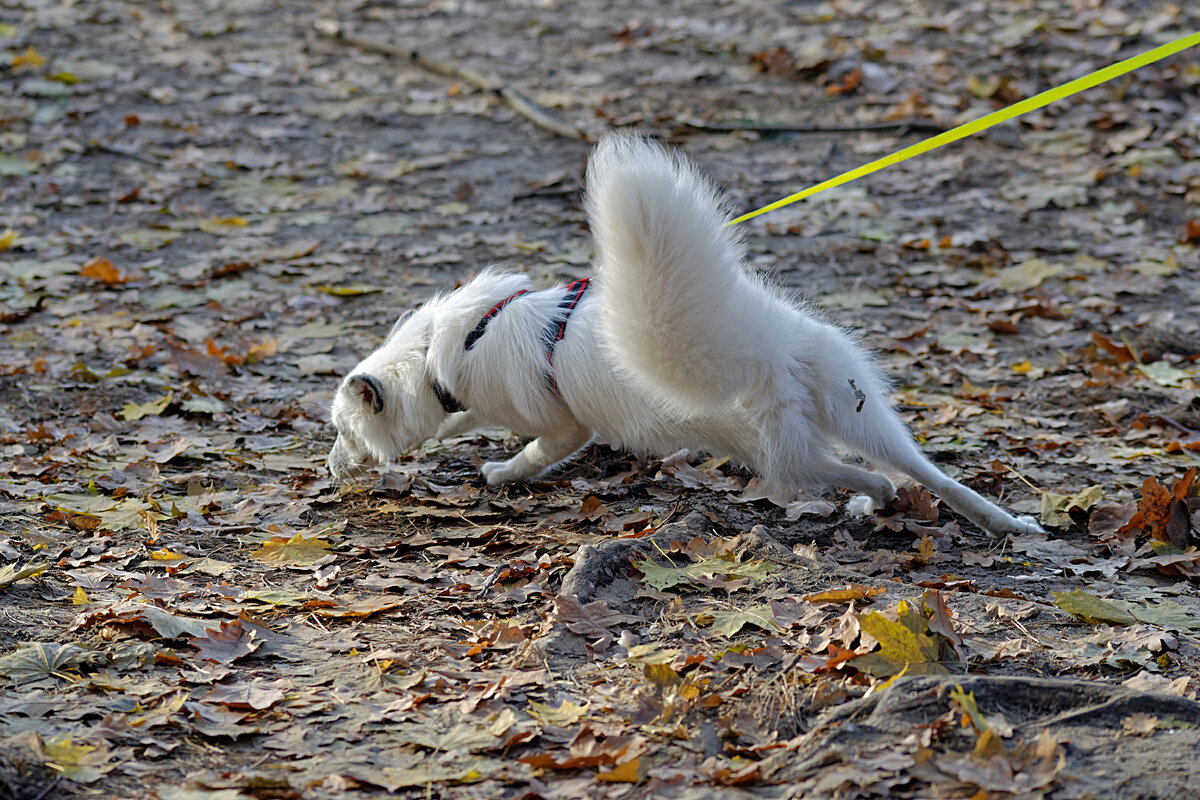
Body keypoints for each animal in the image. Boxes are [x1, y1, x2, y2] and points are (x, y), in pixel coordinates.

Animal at [328, 136, 1041, 537]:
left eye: (341, 431)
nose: (327, 469)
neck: (442, 351)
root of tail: (763, 352)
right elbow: (458, 422)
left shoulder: (562, 426)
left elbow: (529, 453)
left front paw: (499, 473)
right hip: (858, 413)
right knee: (927, 473)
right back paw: (999, 522)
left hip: (782, 457)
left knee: (849, 474)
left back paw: (879, 500)